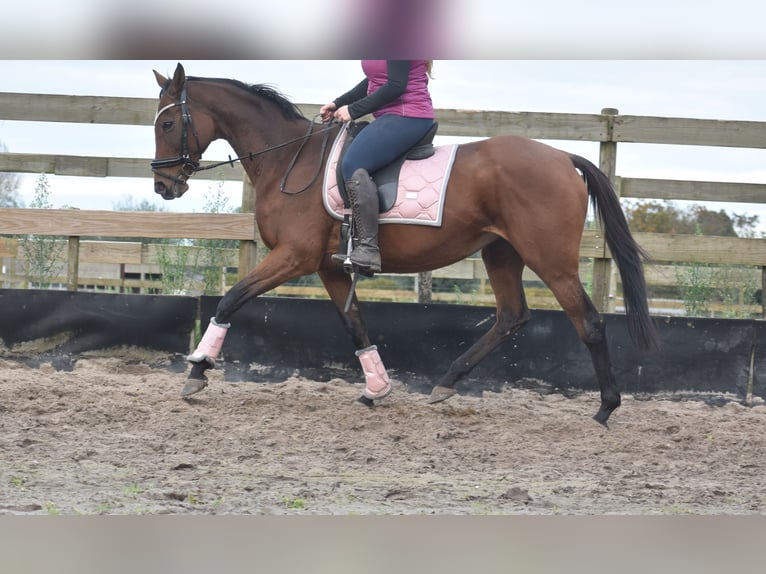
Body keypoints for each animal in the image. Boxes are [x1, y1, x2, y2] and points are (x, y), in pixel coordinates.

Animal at [150, 64, 660, 428]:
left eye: (169, 122)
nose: (162, 185)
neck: (290, 160)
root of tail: (562, 156)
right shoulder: (331, 268)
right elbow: (355, 326)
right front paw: (377, 388)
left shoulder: (293, 257)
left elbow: (231, 298)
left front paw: (198, 369)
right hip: (500, 252)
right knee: (511, 316)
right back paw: (446, 383)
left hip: (550, 259)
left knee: (589, 322)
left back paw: (606, 408)